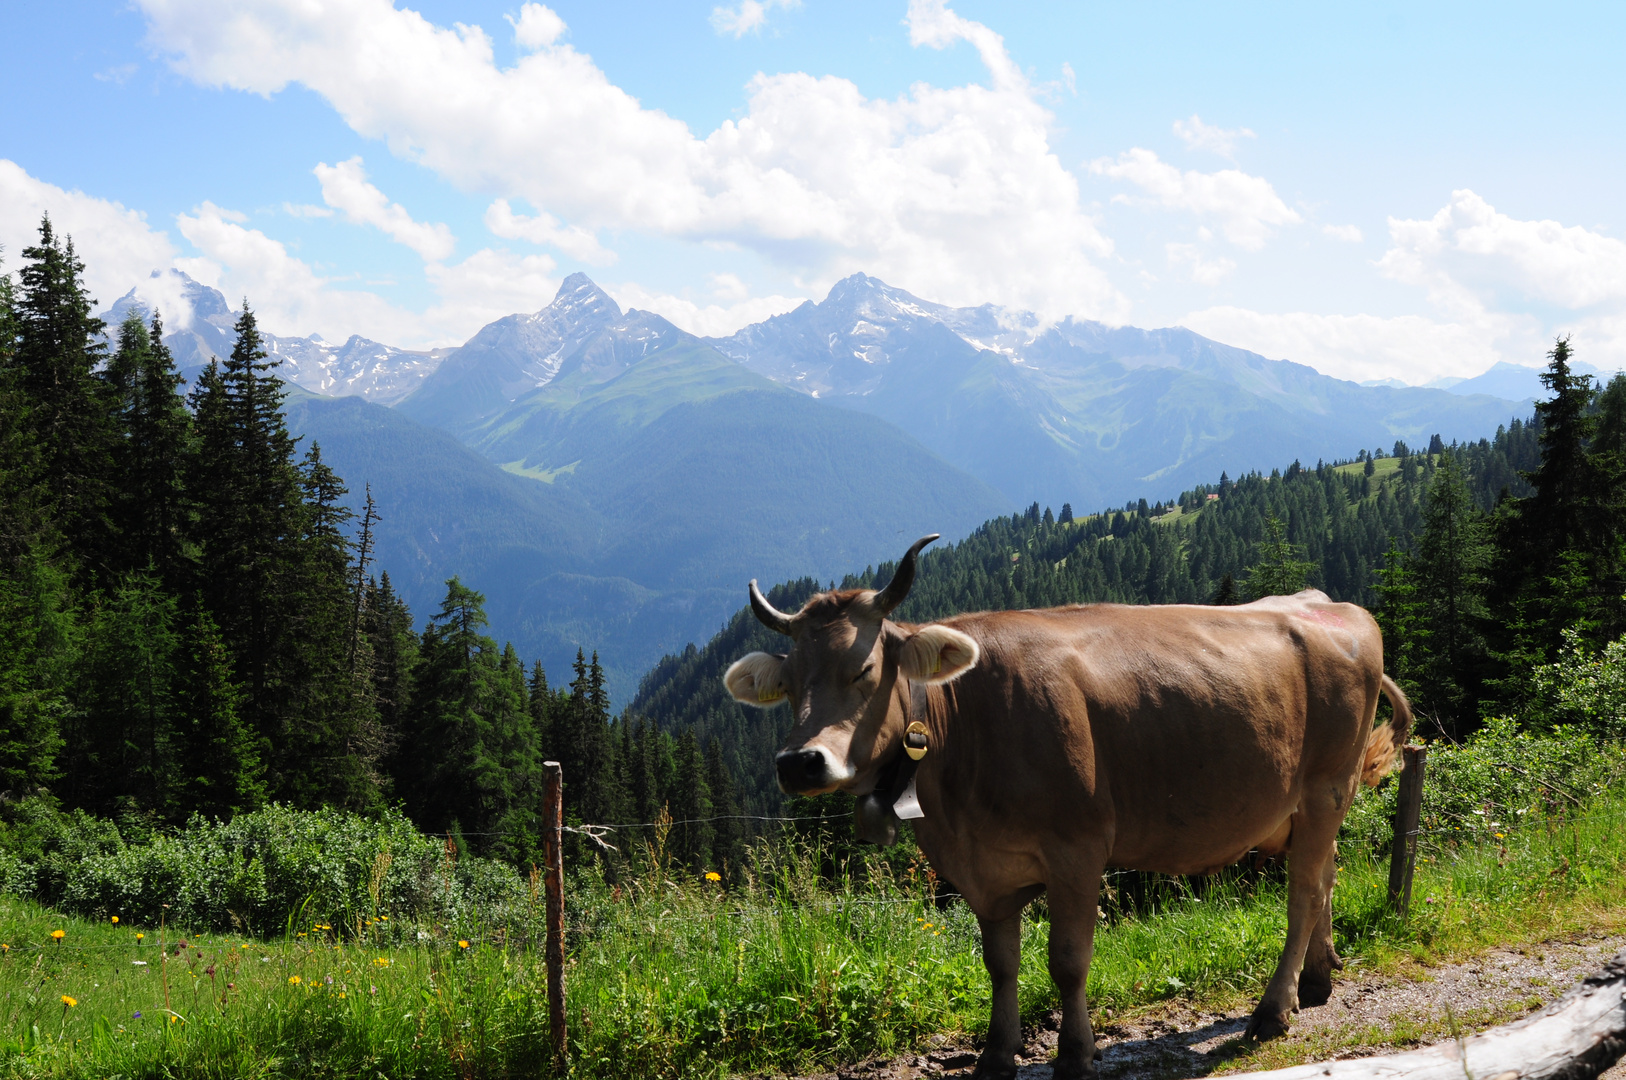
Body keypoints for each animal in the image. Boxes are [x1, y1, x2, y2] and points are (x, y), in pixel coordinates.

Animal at [725, 536, 1411, 1073]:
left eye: (865, 669)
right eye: (789, 681)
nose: (799, 762)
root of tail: (1329, 606)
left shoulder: (1077, 850)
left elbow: (1068, 961)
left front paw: (1075, 1054)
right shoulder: (985, 870)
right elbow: (999, 964)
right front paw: (996, 1055)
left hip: (1323, 789)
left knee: (1303, 894)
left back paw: (1273, 1009)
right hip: (1316, 806)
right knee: (1326, 876)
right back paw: (1318, 979)